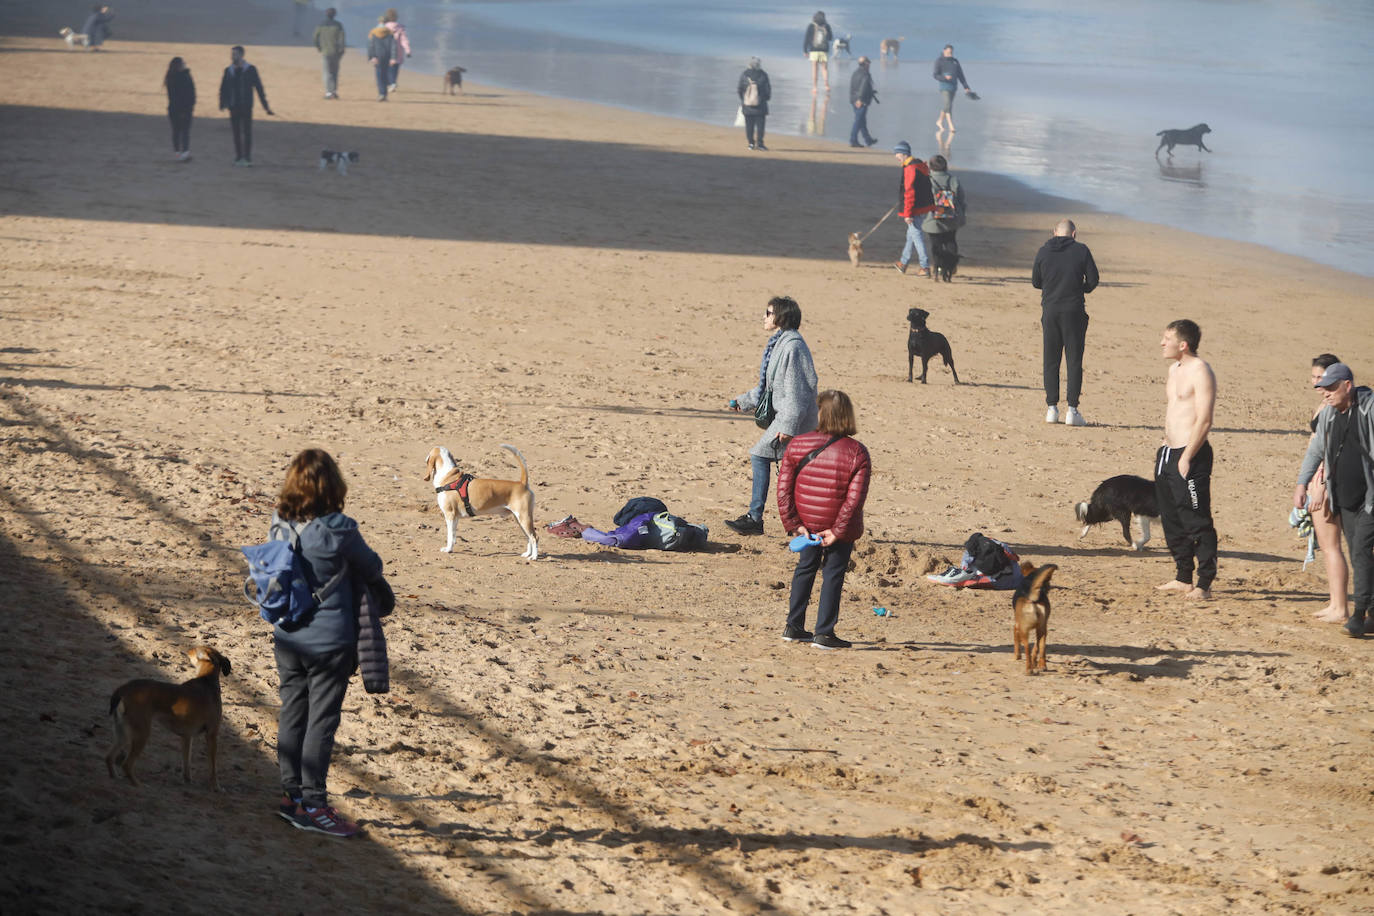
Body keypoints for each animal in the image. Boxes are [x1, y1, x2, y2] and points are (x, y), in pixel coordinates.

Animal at [107, 648, 233, 791]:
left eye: (194, 650)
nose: (187, 650)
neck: (206, 680)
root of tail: (124, 688)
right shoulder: (211, 735)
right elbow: (213, 767)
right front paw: (216, 787)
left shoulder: (187, 737)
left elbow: (186, 763)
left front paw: (187, 780)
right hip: (141, 734)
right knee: (126, 765)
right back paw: (138, 784)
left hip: (123, 733)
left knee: (109, 757)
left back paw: (115, 777)